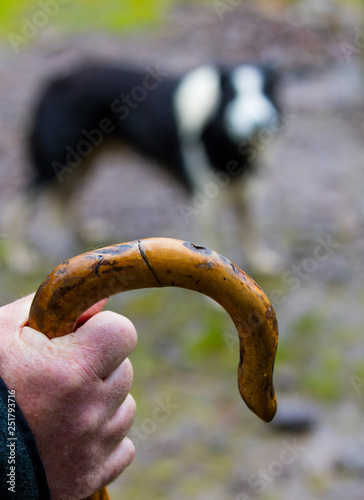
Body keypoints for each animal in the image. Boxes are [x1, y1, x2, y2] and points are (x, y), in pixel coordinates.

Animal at [4, 63, 282, 274]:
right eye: (234, 95)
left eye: (266, 92)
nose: (261, 122)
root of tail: (57, 79)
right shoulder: (206, 203)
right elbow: (212, 251)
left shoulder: (246, 191)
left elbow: (249, 228)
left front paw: (260, 260)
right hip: (56, 160)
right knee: (19, 204)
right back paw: (19, 257)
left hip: (84, 159)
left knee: (66, 197)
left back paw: (85, 232)